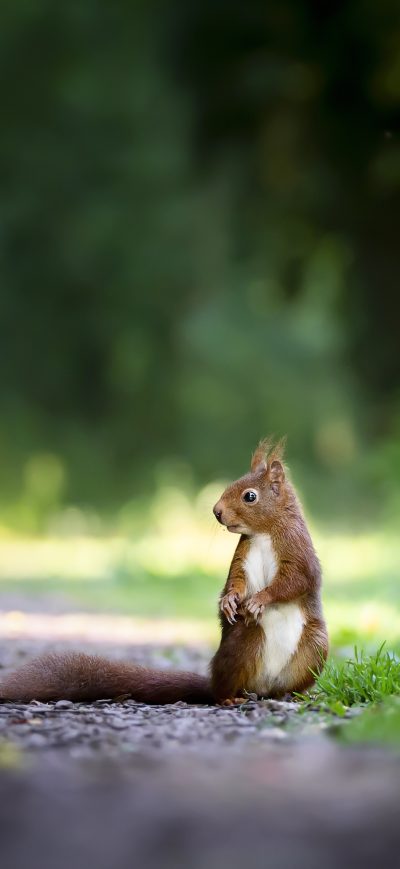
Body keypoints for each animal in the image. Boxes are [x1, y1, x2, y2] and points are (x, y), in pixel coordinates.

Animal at [0, 438, 327, 705]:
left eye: (250, 496)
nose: (216, 511)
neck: (263, 533)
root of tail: (260, 688)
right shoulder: (242, 556)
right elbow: (236, 581)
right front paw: (228, 601)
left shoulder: (298, 551)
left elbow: (296, 581)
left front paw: (260, 599)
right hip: (244, 643)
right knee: (224, 689)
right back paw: (229, 698)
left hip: (314, 648)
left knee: (284, 684)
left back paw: (288, 695)